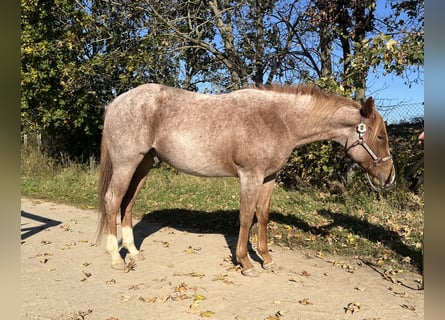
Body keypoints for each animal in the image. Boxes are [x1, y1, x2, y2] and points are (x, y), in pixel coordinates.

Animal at [97, 84, 396, 276]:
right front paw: (245, 263)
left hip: (143, 166)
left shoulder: (268, 177)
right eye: (381, 136)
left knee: (127, 204)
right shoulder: (250, 176)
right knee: (112, 201)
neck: (279, 120)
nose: (389, 177)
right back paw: (115, 257)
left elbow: (262, 215)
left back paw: (133, 252)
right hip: (126, 164)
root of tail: (115, 103)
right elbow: (245, 216)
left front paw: (266, 258)